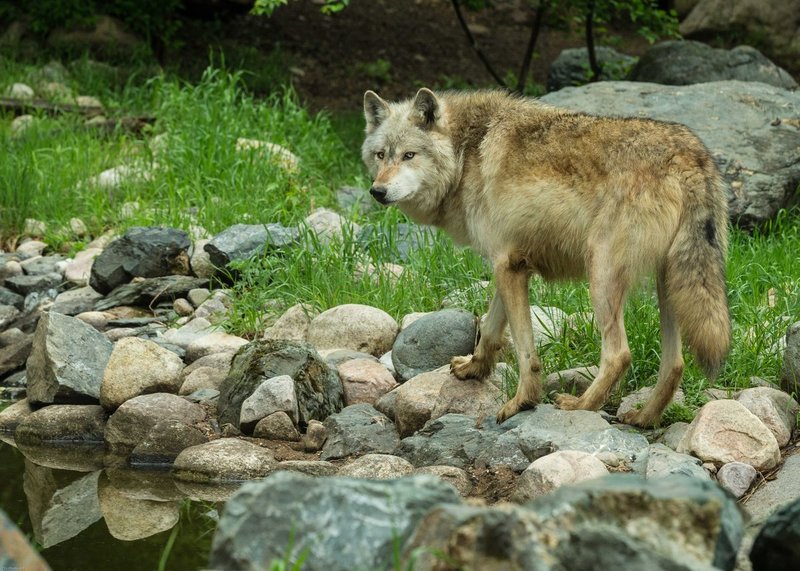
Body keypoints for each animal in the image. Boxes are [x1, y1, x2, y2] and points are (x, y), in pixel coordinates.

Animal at [361, 88, 730, 427]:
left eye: (409, 155)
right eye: (381, 155)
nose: (377, 191)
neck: (466, 154)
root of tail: (692, 155)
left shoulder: (508, 266)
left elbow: (525, 350)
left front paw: (521, 402)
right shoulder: (507, 265)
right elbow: (491, 330)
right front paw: (474, 369)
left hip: (602, 277)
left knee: (619, 355)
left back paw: (580, 406)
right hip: (669, 283)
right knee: (675, 364)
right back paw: (643, 419)